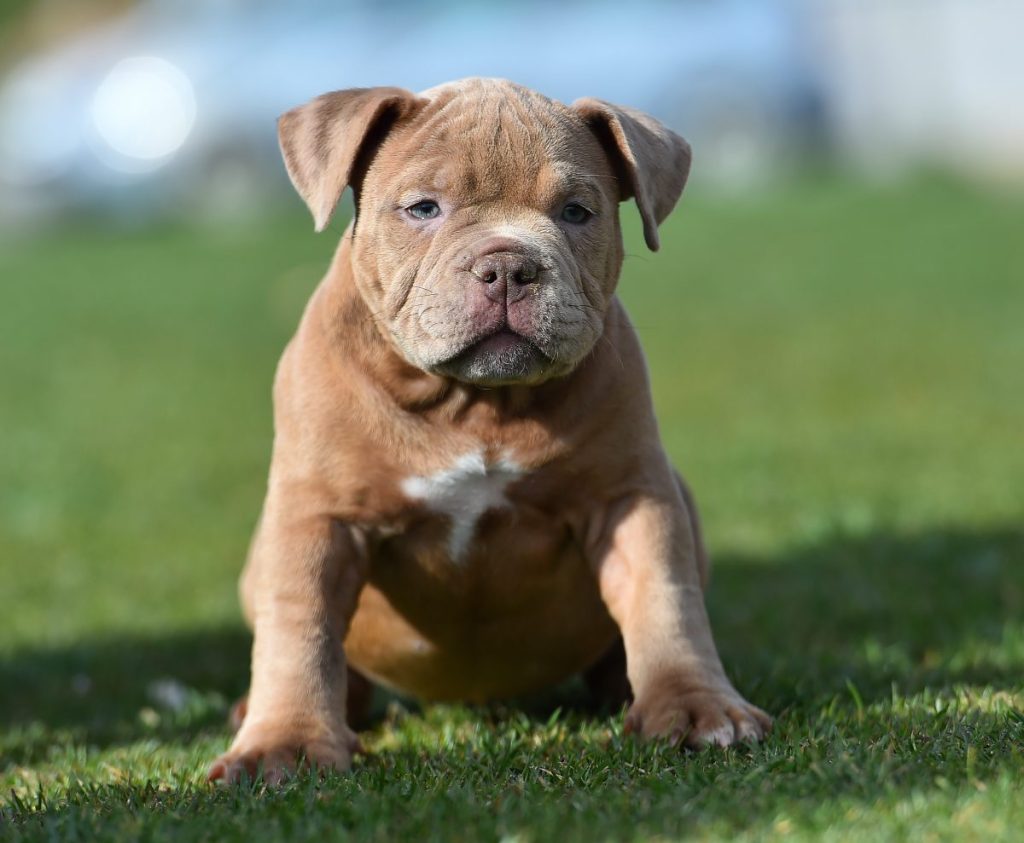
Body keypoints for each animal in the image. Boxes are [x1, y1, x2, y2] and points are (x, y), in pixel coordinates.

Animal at [205, 77, 770, 786]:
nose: (508, 266)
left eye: (576, 212)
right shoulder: (316, 516)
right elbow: (300, 628)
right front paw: (284, 743)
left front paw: (697, 707)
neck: (474, 405)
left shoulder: (631, 498)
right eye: (423, 208)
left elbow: (665, 602)